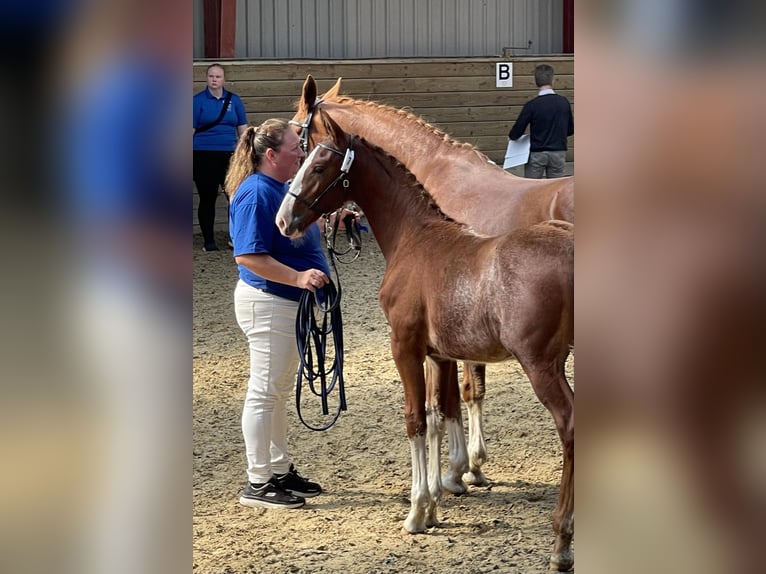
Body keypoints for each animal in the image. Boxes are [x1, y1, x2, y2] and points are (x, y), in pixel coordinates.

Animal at [276, 121, 576, 572]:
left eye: (319, 165)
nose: (284, 220)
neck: (414, 239)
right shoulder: (439, 354)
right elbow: (439, 414)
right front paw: (438, 497)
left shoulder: (404, 347)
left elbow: (415, 420)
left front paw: (417, 511)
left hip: (543, 365)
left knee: (570, 425)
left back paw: (562, 540)